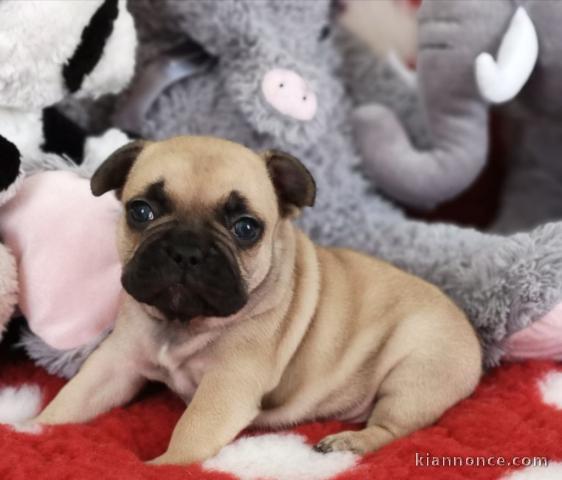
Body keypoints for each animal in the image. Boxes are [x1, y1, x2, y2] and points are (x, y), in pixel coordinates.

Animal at [32, 136, 480, 464]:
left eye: (246, 228)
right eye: (140, 211)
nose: (186, 250)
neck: (182, 324)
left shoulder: (225, 388)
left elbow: (189, 433)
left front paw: (162, 466)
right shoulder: (116, 362)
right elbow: (71, 400)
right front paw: (32, 427)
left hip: (415, 374)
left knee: (391, 428)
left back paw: (347, 444)